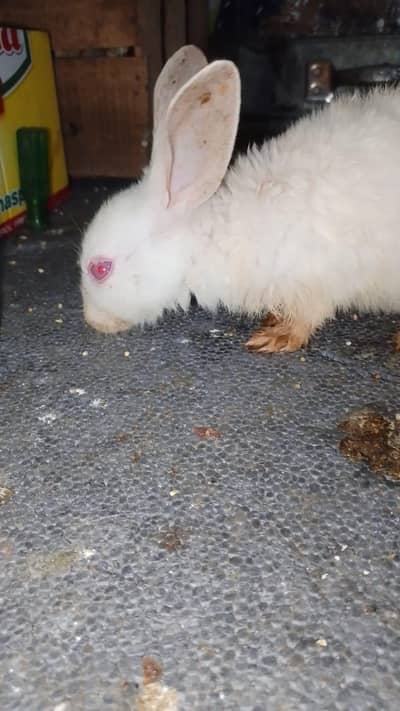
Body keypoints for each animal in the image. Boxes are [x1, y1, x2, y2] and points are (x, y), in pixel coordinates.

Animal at [80, 44, 400, 353]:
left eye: (100, 269)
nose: (91, 320)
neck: (210, 238)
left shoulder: (316, 279)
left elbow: (307, 316)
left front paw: (275, 338)